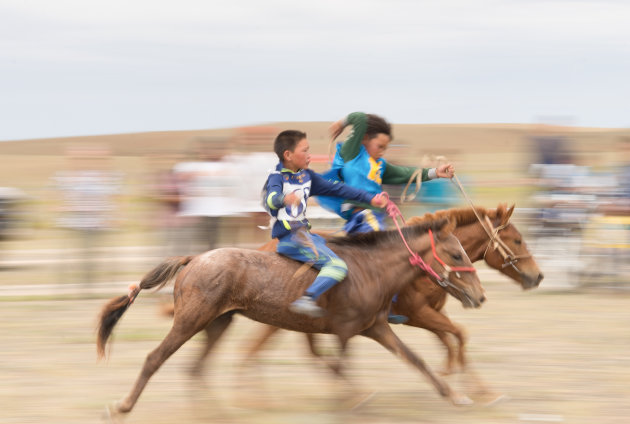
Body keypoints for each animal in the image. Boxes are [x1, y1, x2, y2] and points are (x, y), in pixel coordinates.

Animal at [99, 217, 486, 420]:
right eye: (455, 253)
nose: (479, 296)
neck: (370, 270)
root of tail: (193, 259)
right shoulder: (345, 331)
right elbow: (340, 368)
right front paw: (350, 402)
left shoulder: (375, 328)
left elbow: (417, 361)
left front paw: (456, 396)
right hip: (190, 321)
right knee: (155, 358)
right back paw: (123, 406)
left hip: (218, 323)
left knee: (196, 368)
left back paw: (217, 411)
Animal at [239, 203, 544, 378]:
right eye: (517, 240)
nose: (538, 275)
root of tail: (266, 247)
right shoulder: (418, 314)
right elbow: (458, 334)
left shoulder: (432, 314)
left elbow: (449, 338)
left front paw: (449, 372)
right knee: (253, 350)